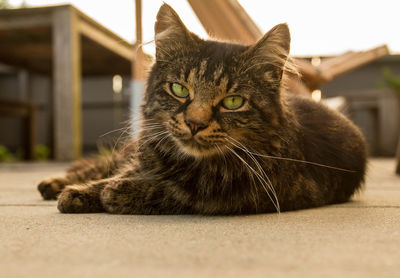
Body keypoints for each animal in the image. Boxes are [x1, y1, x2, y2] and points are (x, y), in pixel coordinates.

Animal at [36, 3, 366, 215]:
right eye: (180, 90)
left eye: (233, 102)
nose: (195, 123)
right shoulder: (141, 158)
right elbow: (114, 175)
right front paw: (82, 192)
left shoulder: (251, 193)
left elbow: (178, 191)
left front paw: (119, 192)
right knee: (96, 165)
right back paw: (52, 184)